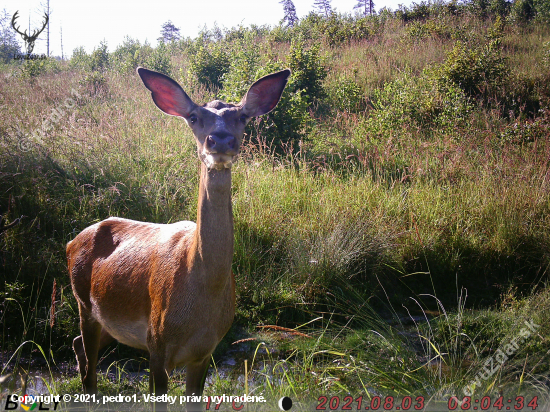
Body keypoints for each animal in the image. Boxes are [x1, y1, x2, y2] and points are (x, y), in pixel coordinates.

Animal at [68, 66, 294, 410]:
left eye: (242, 117)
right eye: (193, 117)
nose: (220, 139)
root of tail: (71, 241)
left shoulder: (205, 352)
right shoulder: (157, 344)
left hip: (108, 321)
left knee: (79, 344)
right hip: (83, 302)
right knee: (88, 358)